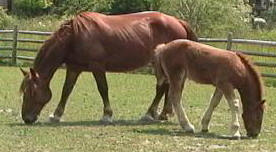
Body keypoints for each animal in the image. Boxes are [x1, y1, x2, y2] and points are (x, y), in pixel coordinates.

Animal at [18, 11, 197, 123]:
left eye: (31, 91)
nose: (27, 119)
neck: (74, 36)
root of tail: (178, 21)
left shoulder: (97, 67)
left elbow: (102, 88)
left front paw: (107, 115)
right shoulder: (74, 68)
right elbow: (66, 90)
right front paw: (56, 115)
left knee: (161, 88)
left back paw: (149, 114)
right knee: (167, 87)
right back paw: (163, 114)